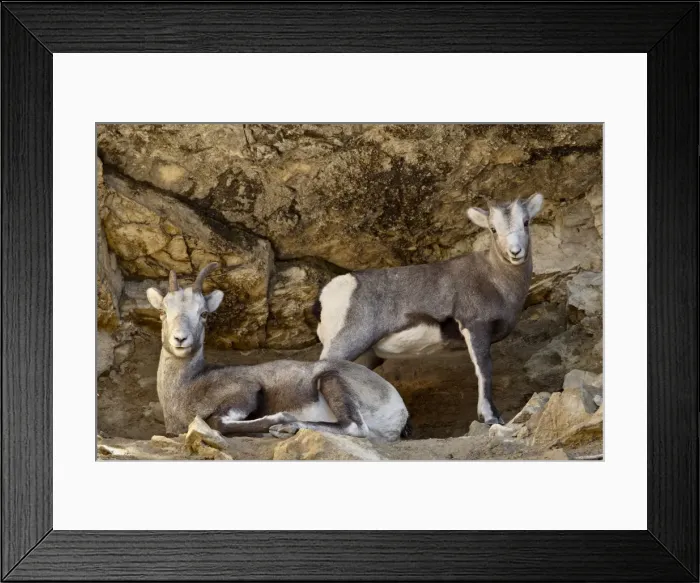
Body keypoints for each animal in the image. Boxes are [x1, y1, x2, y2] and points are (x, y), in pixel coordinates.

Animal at [146, 263, 410, 441]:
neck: (189, 385)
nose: (180, 339)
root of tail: (399, 408)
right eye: (162, 311)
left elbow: (218, 422)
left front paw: (280, 418)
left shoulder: (246, 392)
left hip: (330, 379)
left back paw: (286, 427)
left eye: (203, 313)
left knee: (353, 426)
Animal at [314, 193, 544, 426]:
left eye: (526, 222)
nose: (515, 252)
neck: (496, 279)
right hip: (347, 342)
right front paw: (490, 417)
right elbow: (485, 370)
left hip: (364, 355)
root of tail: (326, 296)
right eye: (493, 229)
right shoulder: (475, 328)